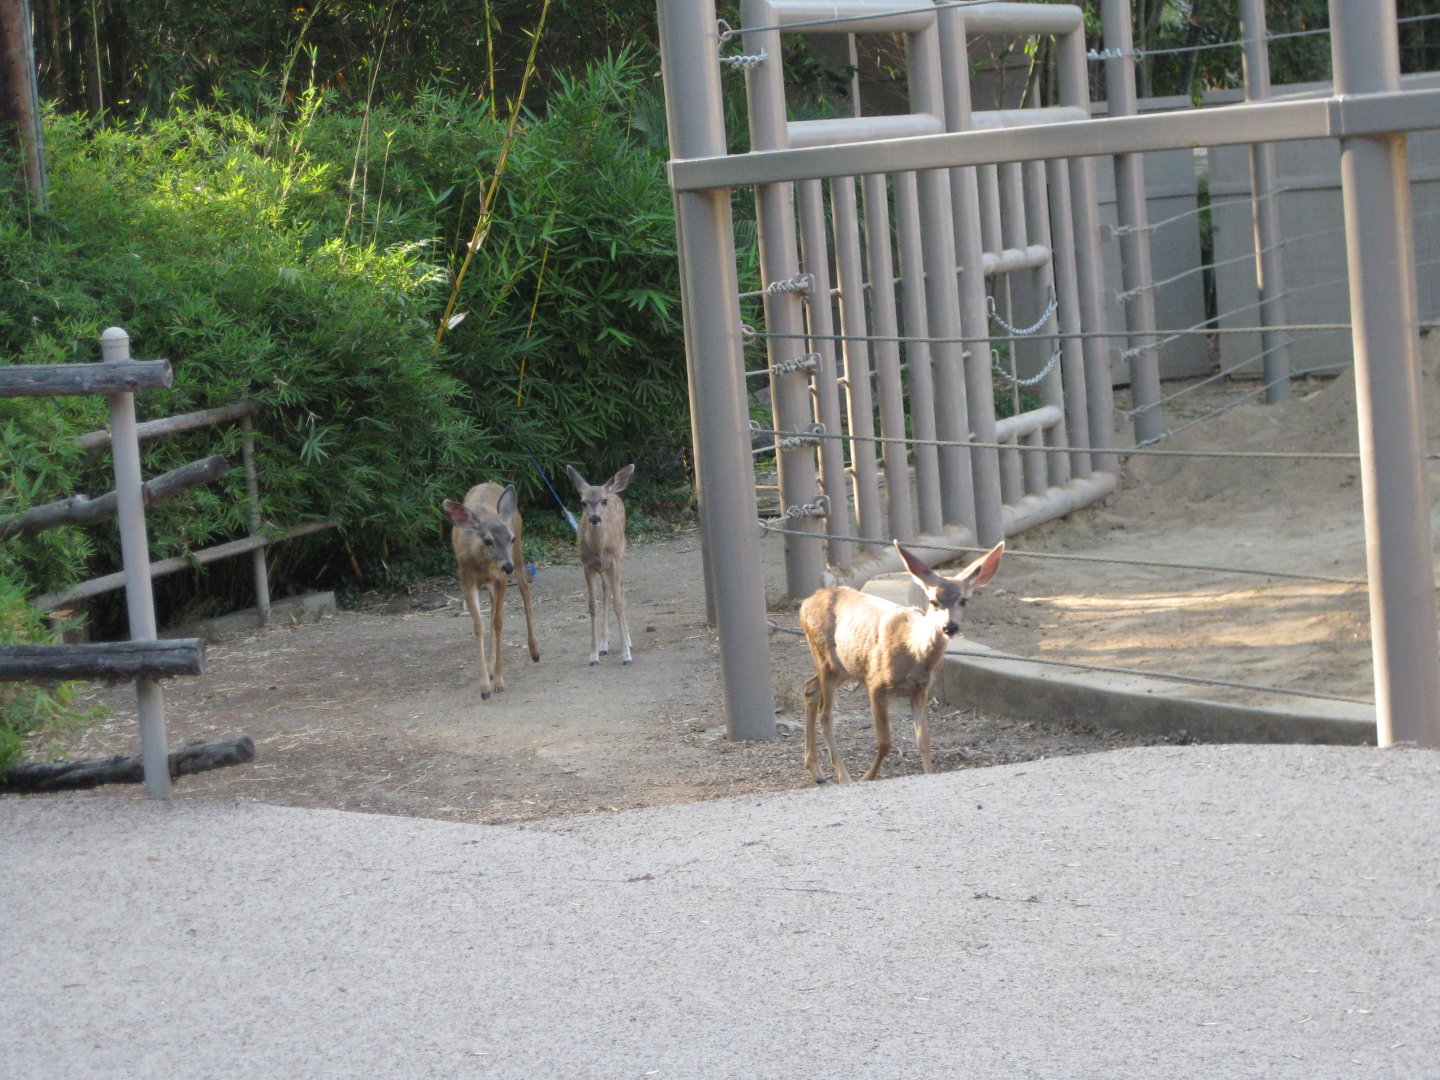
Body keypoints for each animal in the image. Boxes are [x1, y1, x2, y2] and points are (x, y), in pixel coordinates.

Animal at [441, 482, 540, 699]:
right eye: (488, 541)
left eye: (510, 538)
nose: (507, 566)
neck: (483, 564)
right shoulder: (467, 579)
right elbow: (479, 625)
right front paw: (485, 687)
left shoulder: (501, 578)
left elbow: (498, 623)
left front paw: (500, 682)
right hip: (489, 581)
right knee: (494, 605)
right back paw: (490, 666)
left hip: (518, 556)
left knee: (525, 589)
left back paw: (535, 651)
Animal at [564, 463, 636, 666]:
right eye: (583, 502)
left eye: (603, 501)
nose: (595, 519)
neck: (599, 549)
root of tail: (613, 490)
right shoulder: (586, 565)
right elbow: (592, 606)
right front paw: (593, 655)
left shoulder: (614, 561)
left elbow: (618, 603)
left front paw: (626, 655)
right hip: (602, 569)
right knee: (607, 590)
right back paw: (604, 644)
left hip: (620, 555)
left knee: (619, 590)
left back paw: (628, 641)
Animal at [798, 539, 1004, 784]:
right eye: (933, 601)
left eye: (963, 600)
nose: (949, 627)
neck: (913, 653)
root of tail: (805, 603)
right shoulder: (875, 683)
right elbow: (885, 743)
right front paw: (866, 778)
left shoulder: (920, 690)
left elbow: (924, 741)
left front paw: (929, 774)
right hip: (823, 655)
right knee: (826, 714)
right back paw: (844, 776)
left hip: (844, 666)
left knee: (810, 688)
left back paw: (816, 771)